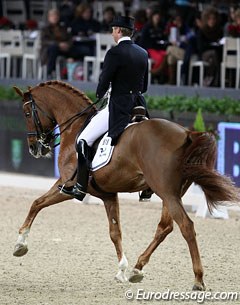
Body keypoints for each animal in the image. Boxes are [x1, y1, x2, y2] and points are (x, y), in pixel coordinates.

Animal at [13, 79, 240, 288]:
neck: (75, 128)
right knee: (165, 227)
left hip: (166, 192)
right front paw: (122, 270)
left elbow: (37, 203)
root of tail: (187, 133)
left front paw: (20, 244)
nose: (35, 148)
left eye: (26, 114)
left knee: (186, 226)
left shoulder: (67, 186)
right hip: (171, 193)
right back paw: (137, 269)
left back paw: (198, 280)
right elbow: (115, 232)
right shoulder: (107, 195)